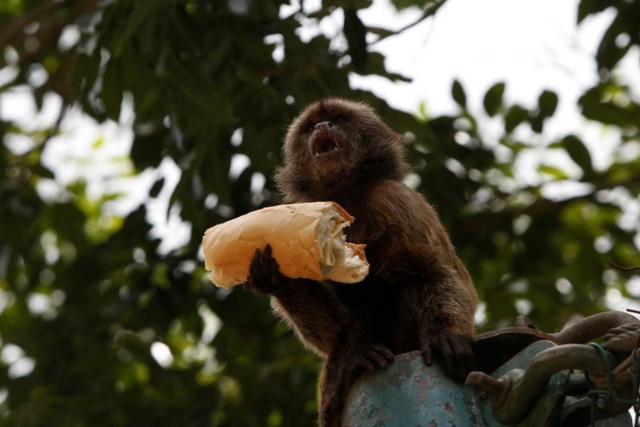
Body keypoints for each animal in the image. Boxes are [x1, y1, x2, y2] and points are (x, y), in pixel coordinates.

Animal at [245, 98, 476, 427]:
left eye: (339, 120)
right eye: (311, 126)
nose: (323, 125)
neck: (346, 197)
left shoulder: (395, 199)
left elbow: (438, 272)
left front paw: (448, 334)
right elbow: (334, 337)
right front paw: (277, 279)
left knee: (412, 286)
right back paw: (353, 361)